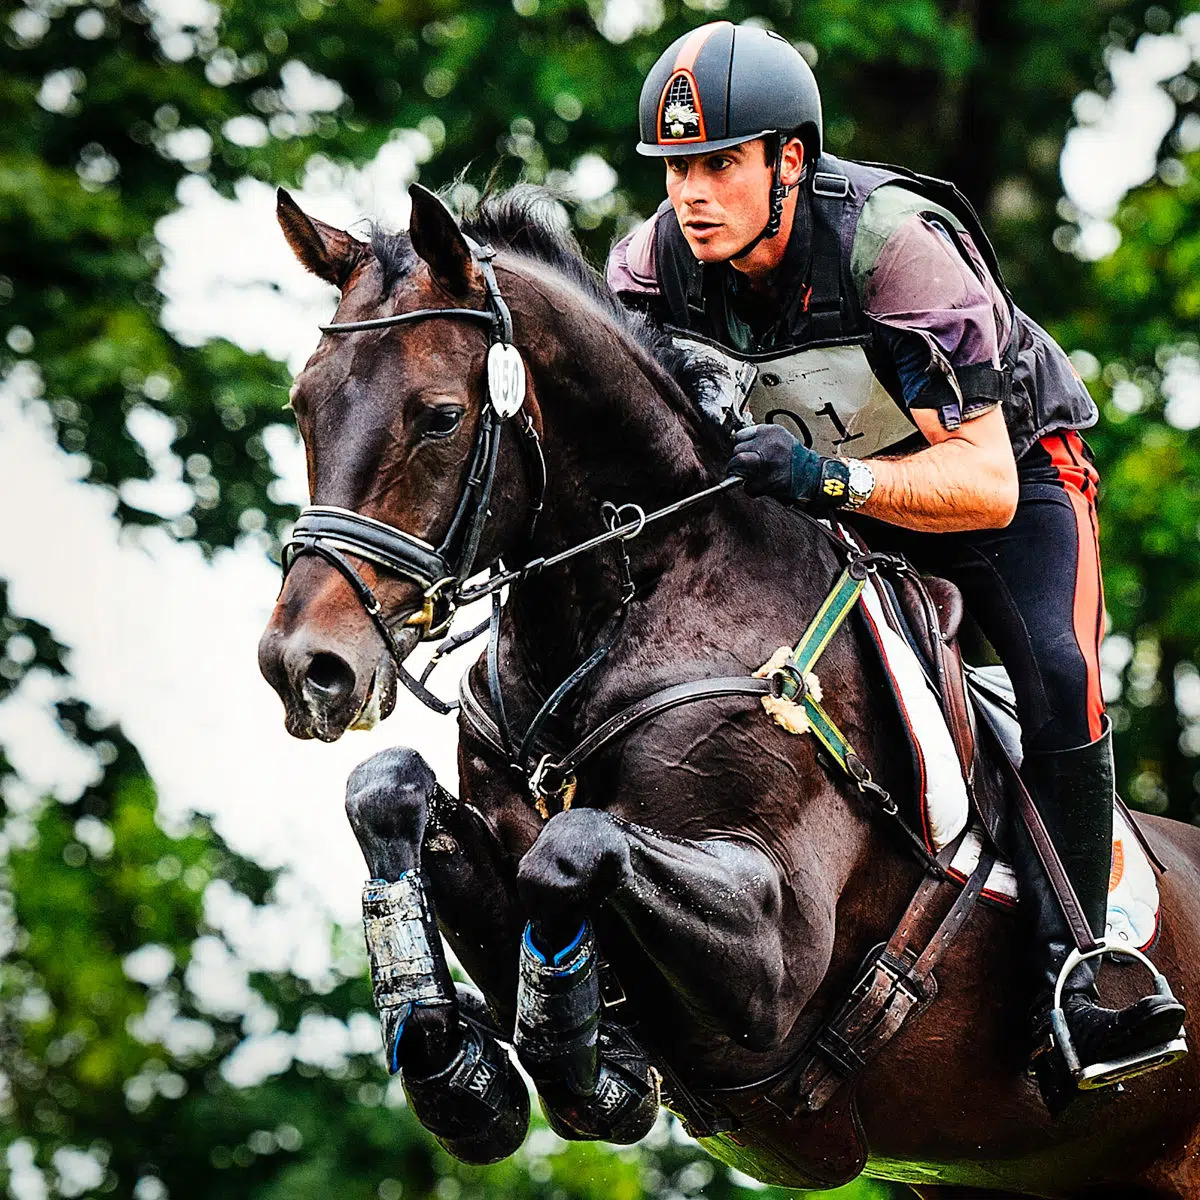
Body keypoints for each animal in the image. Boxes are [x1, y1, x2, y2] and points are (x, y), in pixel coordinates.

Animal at [257, 180, 1200, 1199]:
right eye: (303, 406)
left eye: (436, 417)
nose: (304, 667)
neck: (625, 612)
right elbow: (388, 791)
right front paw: (458, 1065)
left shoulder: (777, 953)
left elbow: (572, 849)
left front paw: (575, 1058)